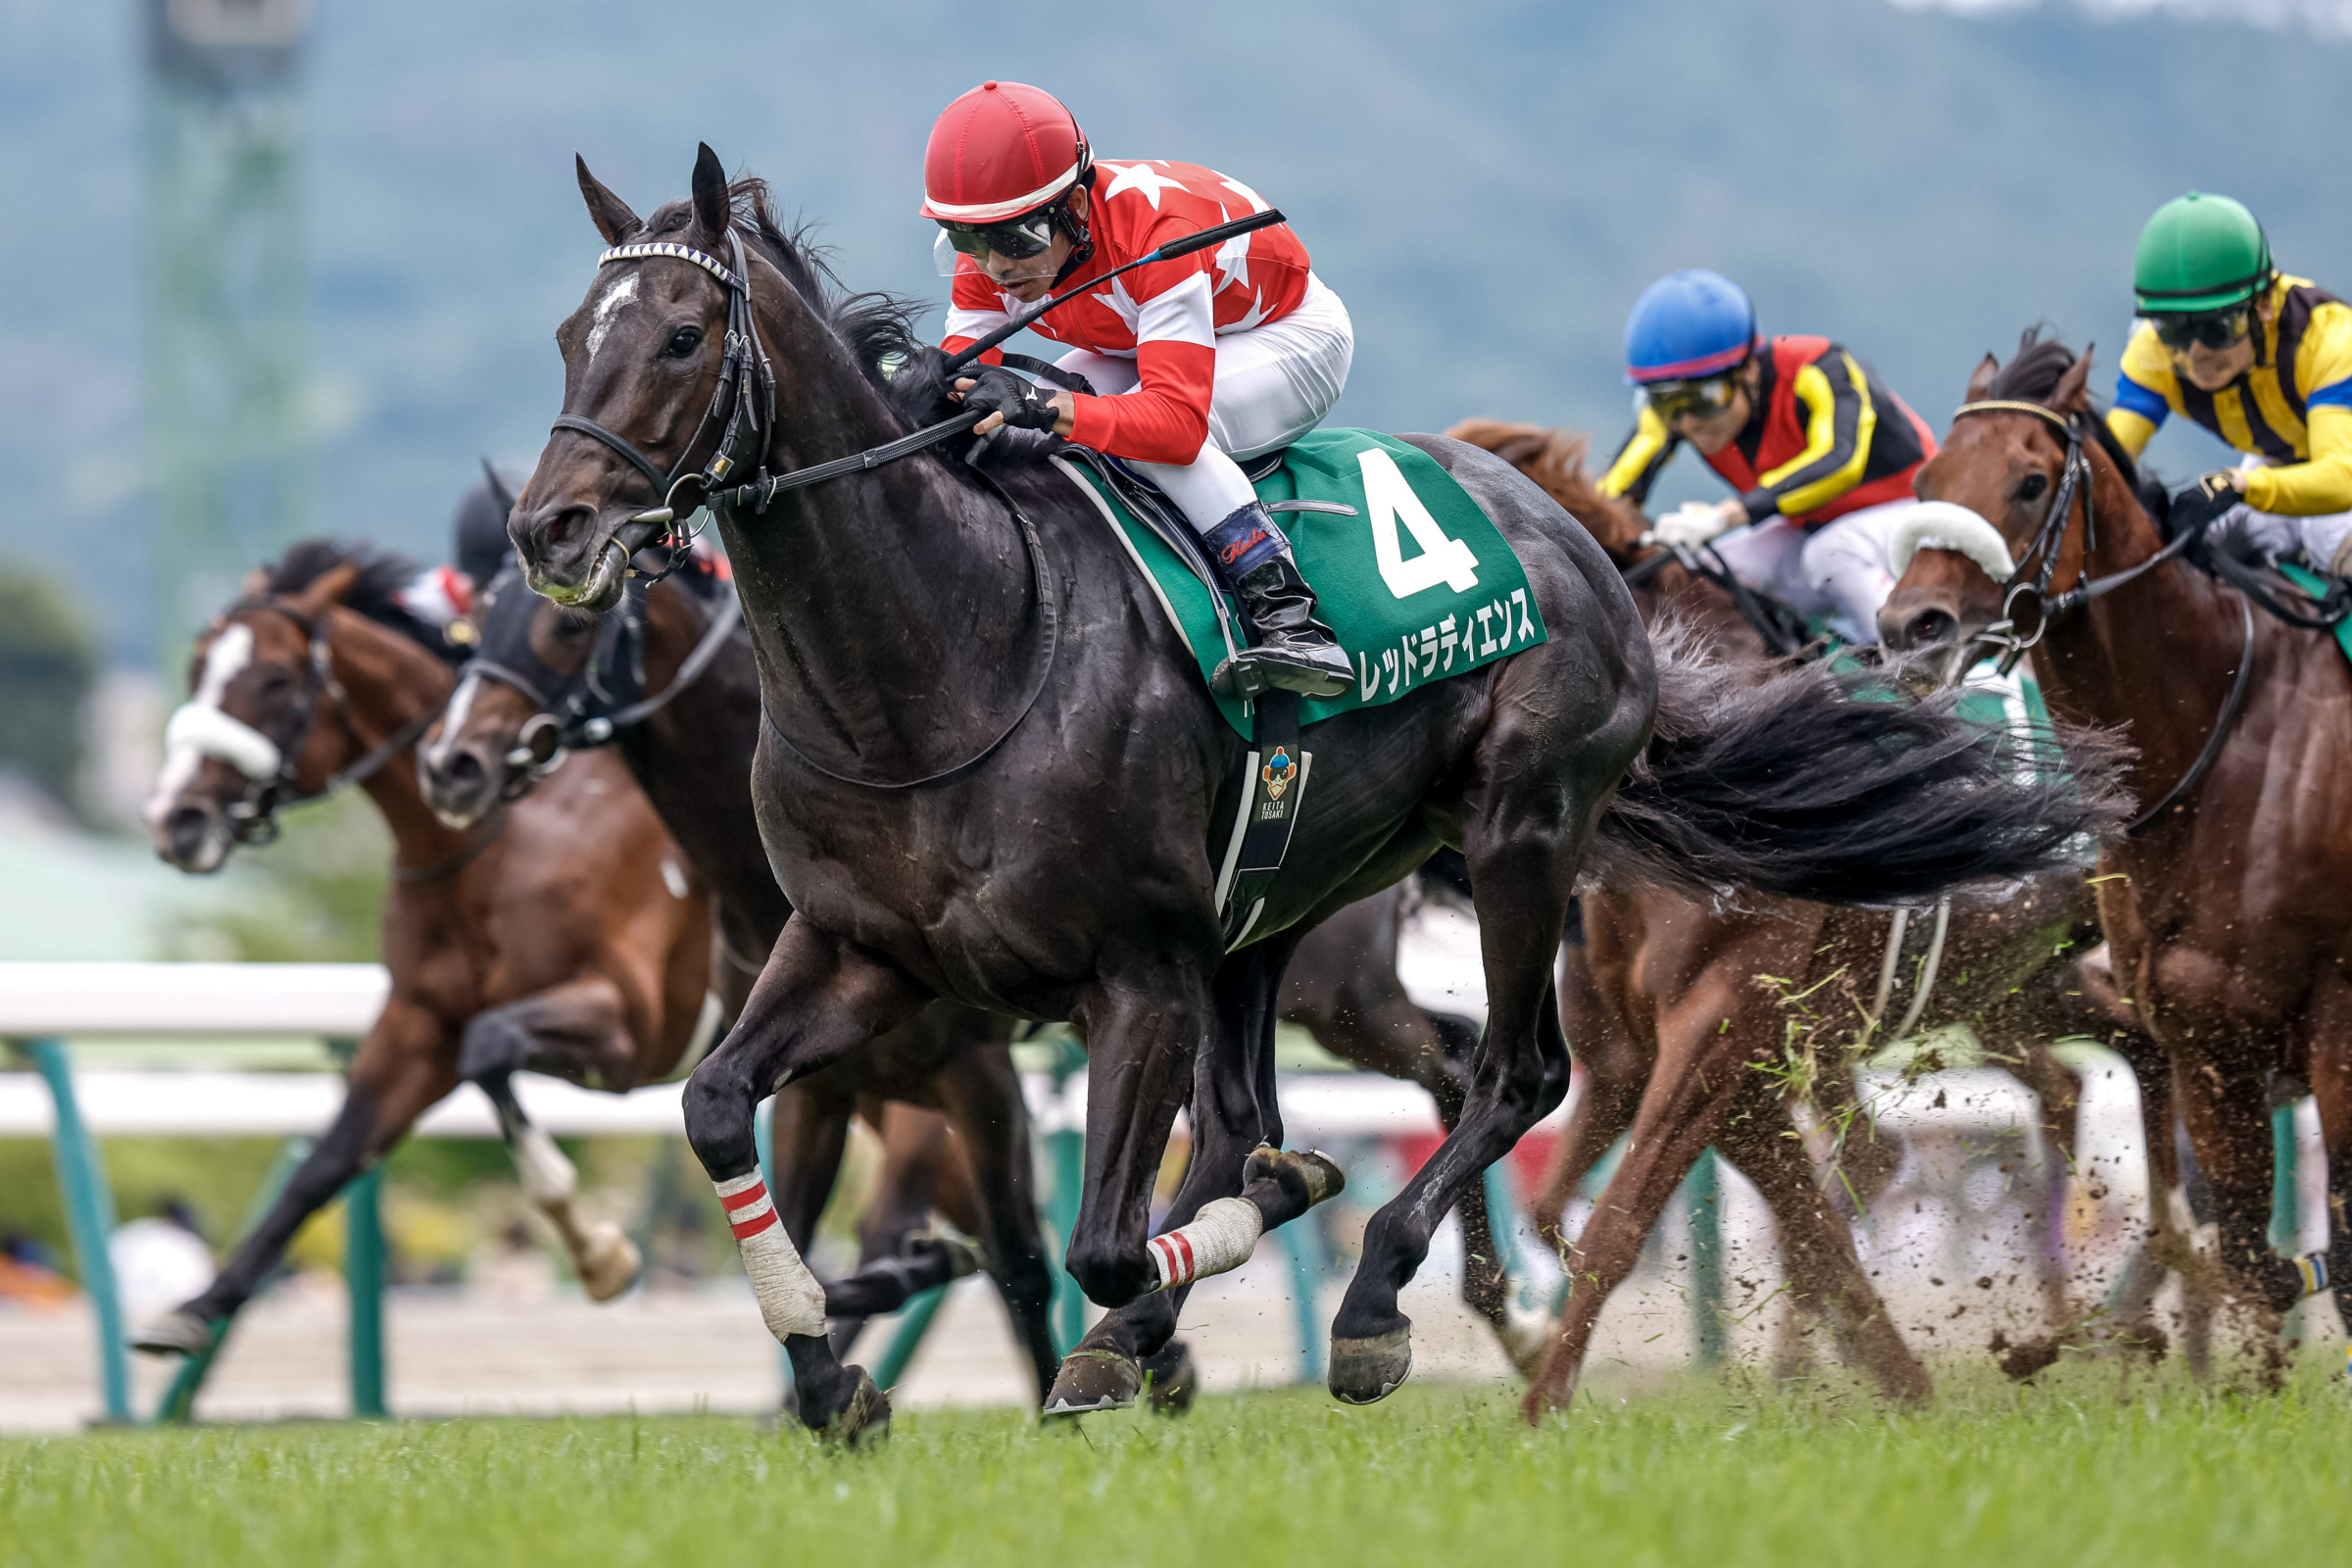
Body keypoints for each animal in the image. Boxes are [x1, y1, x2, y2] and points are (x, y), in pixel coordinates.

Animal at [1448, 420, 2182, 1419]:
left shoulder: (1717, 1028)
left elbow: (1626, 1222)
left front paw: (1542, 1409)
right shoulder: (1666, 1057)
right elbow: (1799, 1228)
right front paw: (1897, 1381)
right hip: (2019, 984)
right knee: (2117, 1068)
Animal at [1872, 333, 2352, 1363]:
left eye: (2029, 480)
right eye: (1928, 478)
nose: (1910, 628)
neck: (2225, 749)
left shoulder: (2336, 1020)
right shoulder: (2204, 1036)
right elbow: (2250, 1255)